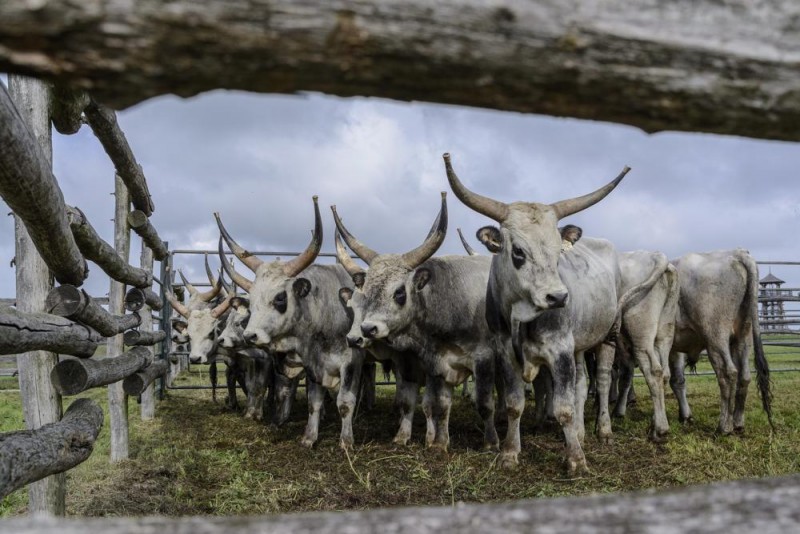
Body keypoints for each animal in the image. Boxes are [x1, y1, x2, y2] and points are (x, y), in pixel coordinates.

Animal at [212, 197, 362, 452]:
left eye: (280, 297)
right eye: (252, 300)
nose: (251, 336)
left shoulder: (350, 363)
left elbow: (345, 401)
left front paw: (346, 441)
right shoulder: (311, 366)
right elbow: (312, 401)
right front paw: (308, 436)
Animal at [332, 193, 500, 452]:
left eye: (399, 292)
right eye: (365, 292)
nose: (367, 330)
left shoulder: (484, 359)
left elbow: (483, 403)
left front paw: (491, 443)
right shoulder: (429, 365)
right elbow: (433, 403)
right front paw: (435, 442)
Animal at [444, 152, 632, 474]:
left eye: (559, 252)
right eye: (518, 251)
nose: (558, 297)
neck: (522, 315)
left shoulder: (559, 348)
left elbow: (564, 407)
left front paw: (576, 460)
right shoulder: (505, 350)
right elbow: (514, 403)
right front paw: (510, 452)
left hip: (608, 334)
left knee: (604, 380)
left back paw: (603, 431)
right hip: (578, 344)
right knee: (581, 382)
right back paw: (581, 432)